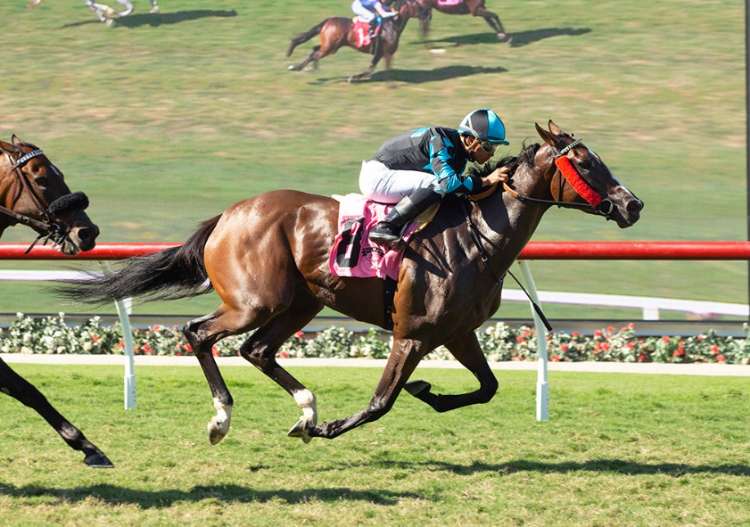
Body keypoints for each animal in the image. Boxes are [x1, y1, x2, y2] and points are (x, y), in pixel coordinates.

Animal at [61, 121, 642, 446]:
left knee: (257, 350)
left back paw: (305, 408)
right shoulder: (412, 333)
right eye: (585, 161)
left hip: (301, 302)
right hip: (256, 301)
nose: (633, 203)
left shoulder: (457, 332)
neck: (478, 235)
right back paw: (225, 419)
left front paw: (427, 393)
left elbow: (487, 388)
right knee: (200, 334)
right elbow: (382, 402)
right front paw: (333, 427)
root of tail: (229, 214)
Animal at [286, 0, 428, 82]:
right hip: (331, 47)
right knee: (315, 54)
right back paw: (296, 67)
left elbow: (382, 69)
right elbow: (371, 69)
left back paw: (311, 67)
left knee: (315, 50)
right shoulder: (381, 52)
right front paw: (353, 77)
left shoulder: (384, 53)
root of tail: (328, 21)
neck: (392, 24)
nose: (427, 14)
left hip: (329, 45)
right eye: (418, 4)